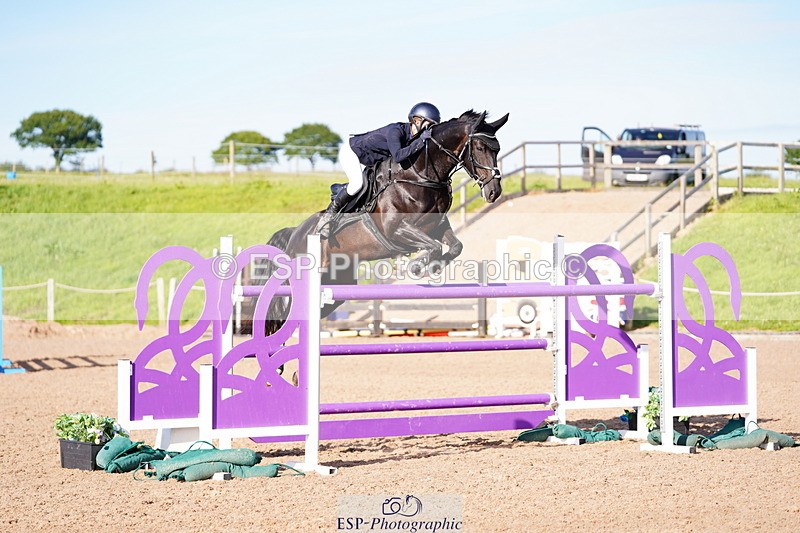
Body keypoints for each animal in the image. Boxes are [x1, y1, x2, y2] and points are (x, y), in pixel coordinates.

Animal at [254, 110, 509, 334]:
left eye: (497, 149)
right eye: (479, 147)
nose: (494, 192)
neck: (420, 175)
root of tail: (295, 233)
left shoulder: (437, 227)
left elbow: (455, 246)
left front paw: (435, 266)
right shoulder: (394, 229)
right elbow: (434, 246)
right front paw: (416, 266)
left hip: (339, 282)